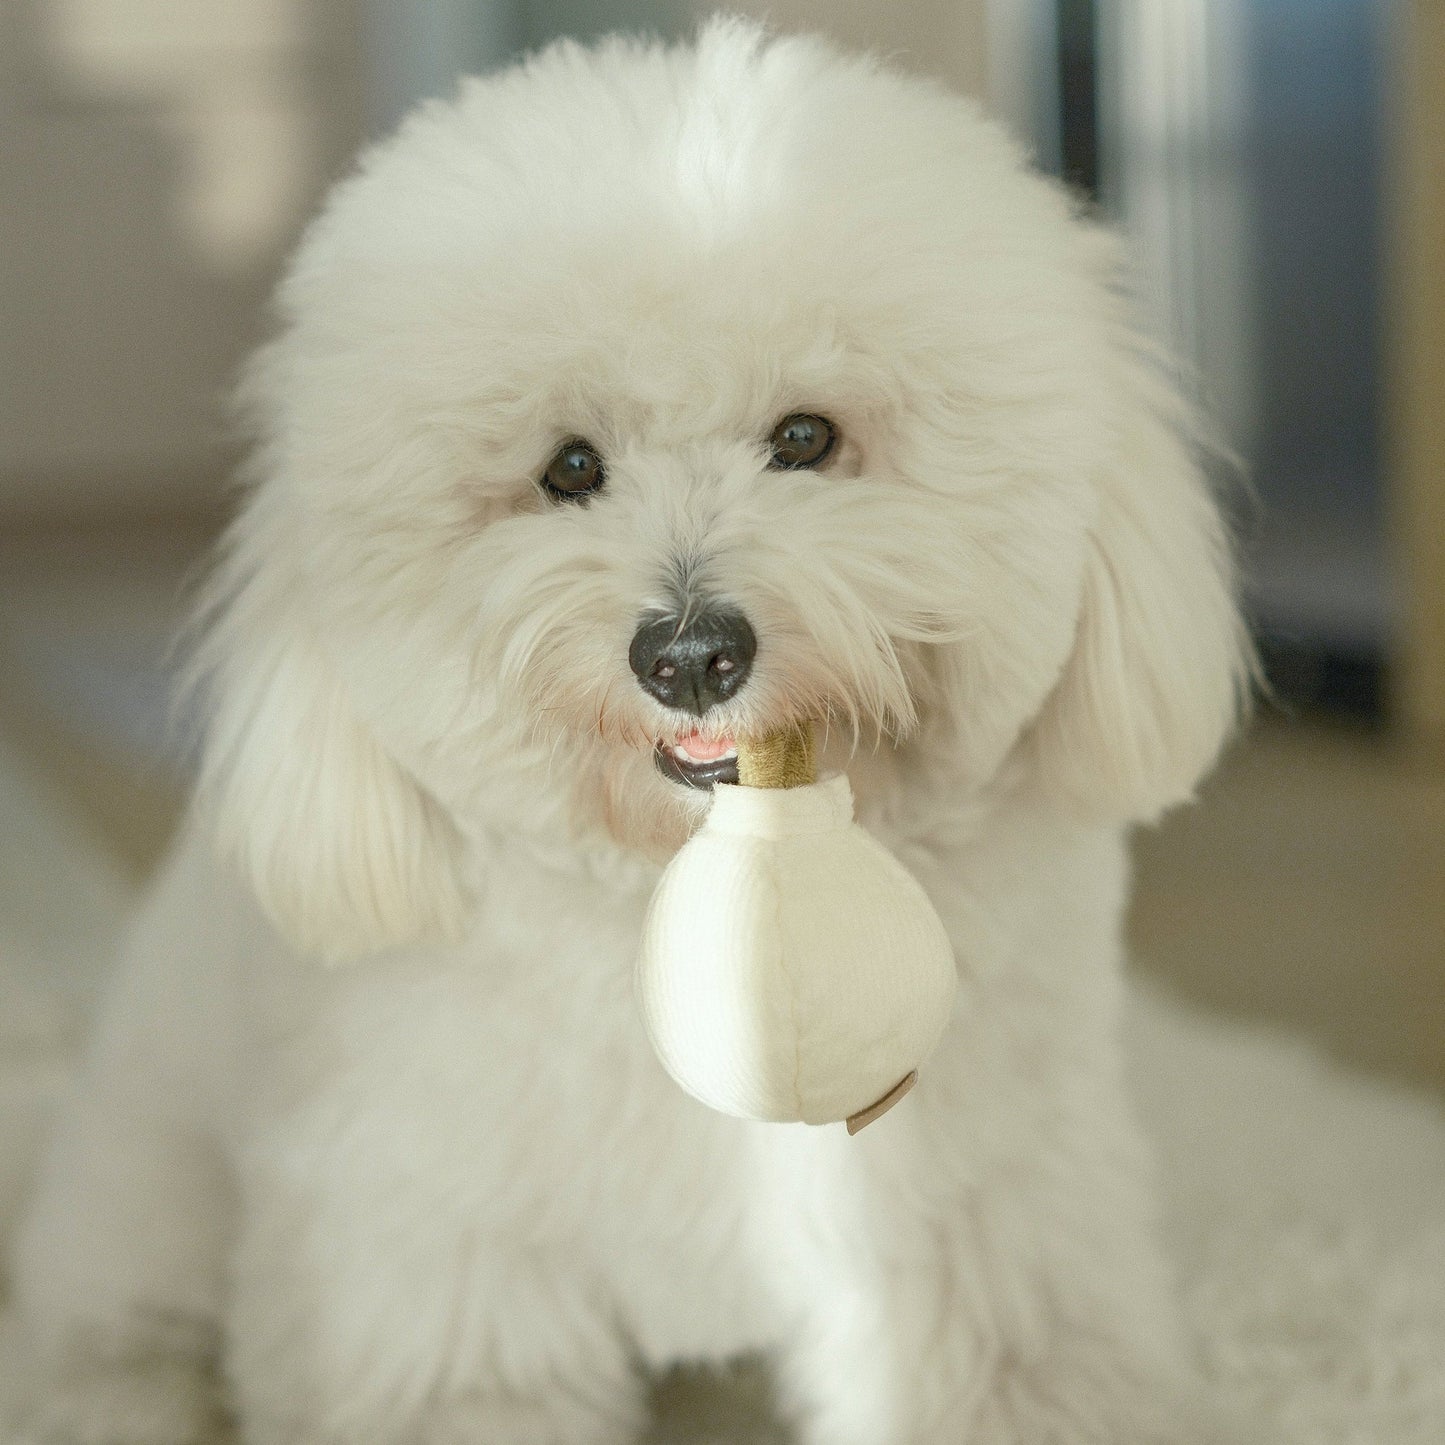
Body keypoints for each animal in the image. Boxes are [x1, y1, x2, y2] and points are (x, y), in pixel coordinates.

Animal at [11, 14, 1248, 1445]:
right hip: (142, 1184)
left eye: (805, 435)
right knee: (107, 1323)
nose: (691, 655)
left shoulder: (981, 1211)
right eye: (569, 468)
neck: (708, 881)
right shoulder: (449, 1276)